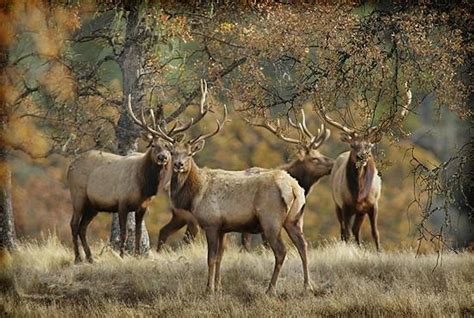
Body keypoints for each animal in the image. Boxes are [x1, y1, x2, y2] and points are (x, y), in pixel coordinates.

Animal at [316, 84, 412, 251]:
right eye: (353, 145)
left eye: (369, 145)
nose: (362, 156)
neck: (359, 193)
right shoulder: (345, 205)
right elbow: (346, 233)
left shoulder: (373, 204)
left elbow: (375, 233)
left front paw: (379, 252)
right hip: (336, 204)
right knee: (344, 230)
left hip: (360, 212)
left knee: (356, 230)